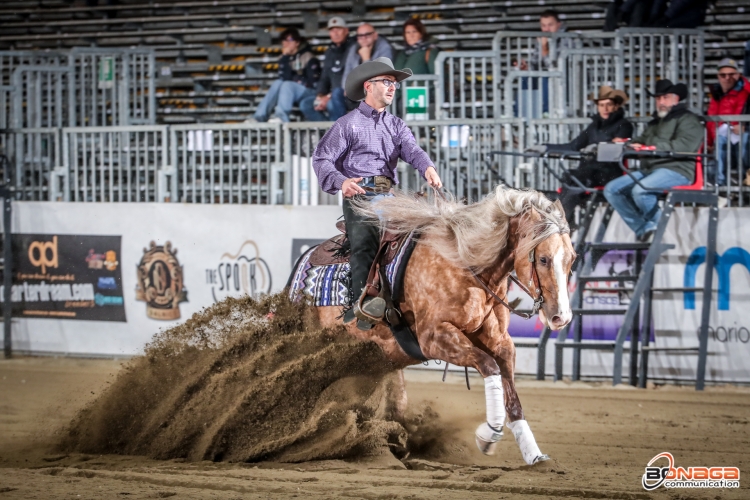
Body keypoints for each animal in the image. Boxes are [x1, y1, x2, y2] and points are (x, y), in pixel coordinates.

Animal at [314, 187, 572, 464]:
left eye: (572, 259)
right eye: (543, 259)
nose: (562, 317)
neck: (463, 262)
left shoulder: (499, 340)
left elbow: (510, 392)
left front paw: (533, 454)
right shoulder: (434, 338)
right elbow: (488, 366)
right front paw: (488, 434)